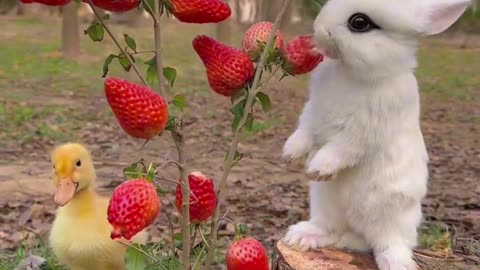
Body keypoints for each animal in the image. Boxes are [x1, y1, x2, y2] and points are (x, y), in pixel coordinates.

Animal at [282, 0, 468, 270]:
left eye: (359, 23)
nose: (318, 29)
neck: (352, 73)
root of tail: (355, 232)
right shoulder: (314, 111)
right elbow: (305, 131)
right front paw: (290, 153)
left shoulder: (364, 131)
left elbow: (341, 149)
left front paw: (318, 169)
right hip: (326, 204)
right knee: (330, 229)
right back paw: (302, 236)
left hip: (392, 215)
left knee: (390, 243)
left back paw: (396, 262)